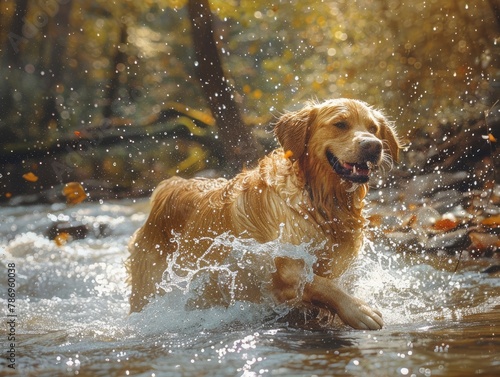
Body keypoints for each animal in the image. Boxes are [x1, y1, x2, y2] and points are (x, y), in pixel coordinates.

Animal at [127, 97, 400, 328]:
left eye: (373, 128)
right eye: (340, 124)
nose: (374, 146)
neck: (318, 201)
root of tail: (170, 185)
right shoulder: (282, 268)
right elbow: (320, 284)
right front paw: (359, 309)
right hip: (148, 287)